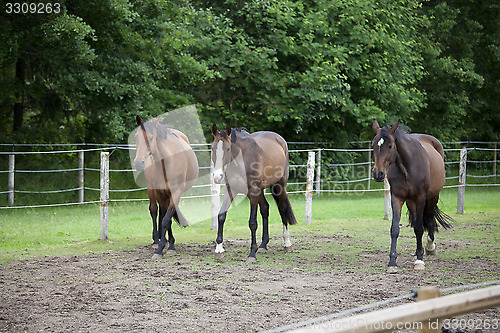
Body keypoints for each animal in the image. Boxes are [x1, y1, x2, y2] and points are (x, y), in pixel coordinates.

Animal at [134, 115, 198, 258]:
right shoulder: (159, 193)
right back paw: (156, 240)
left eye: (151, 137)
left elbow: (166, 219)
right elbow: (164, 218)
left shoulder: (175, 192)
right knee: (154, 210)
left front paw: (169, 246)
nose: (138, 163)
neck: (166, 163)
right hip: (152, 190)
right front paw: (161, 247)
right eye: (136, 137)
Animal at [211, 124, 296, 262]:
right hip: (259, 191)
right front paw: (219, 249)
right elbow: (221, 216)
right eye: (213, 148)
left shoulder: (254, 190)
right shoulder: (231, 190)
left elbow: (252, 222)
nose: (217, 177)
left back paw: (287, 243)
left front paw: (252, 253)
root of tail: (280, 140)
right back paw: (263, 245)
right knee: (265, 209)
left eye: (228, 149)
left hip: (280, 185)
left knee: (282, 209)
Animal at [372, 119, 454, 272]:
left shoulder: (421, 197)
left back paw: (429, 246)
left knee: (428, 218)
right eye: (374, 145)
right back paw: (418, 251)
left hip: (432, 197)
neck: (407, 167)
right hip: (411, 202)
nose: (377, 174)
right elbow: (395, 229)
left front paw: (420, 260)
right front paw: (392, 262)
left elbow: (419, 228)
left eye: (390, 146)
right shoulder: (397, 198)